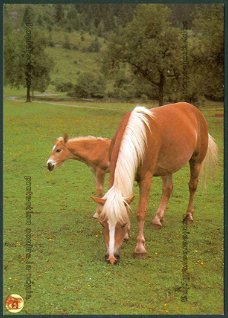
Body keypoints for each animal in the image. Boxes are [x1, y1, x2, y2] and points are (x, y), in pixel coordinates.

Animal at [91, 103, 218, 264]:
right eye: (103, 224)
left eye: (122, 224)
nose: (112, 258)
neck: (138, 137)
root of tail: (193, 110)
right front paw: (127, 235)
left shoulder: (146, 179)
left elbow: (141, 212)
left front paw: (139, 248)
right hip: (168, 167)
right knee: (168, 189)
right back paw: (158, 219)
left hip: (196, 161)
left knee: (192, 186)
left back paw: (188, 216)